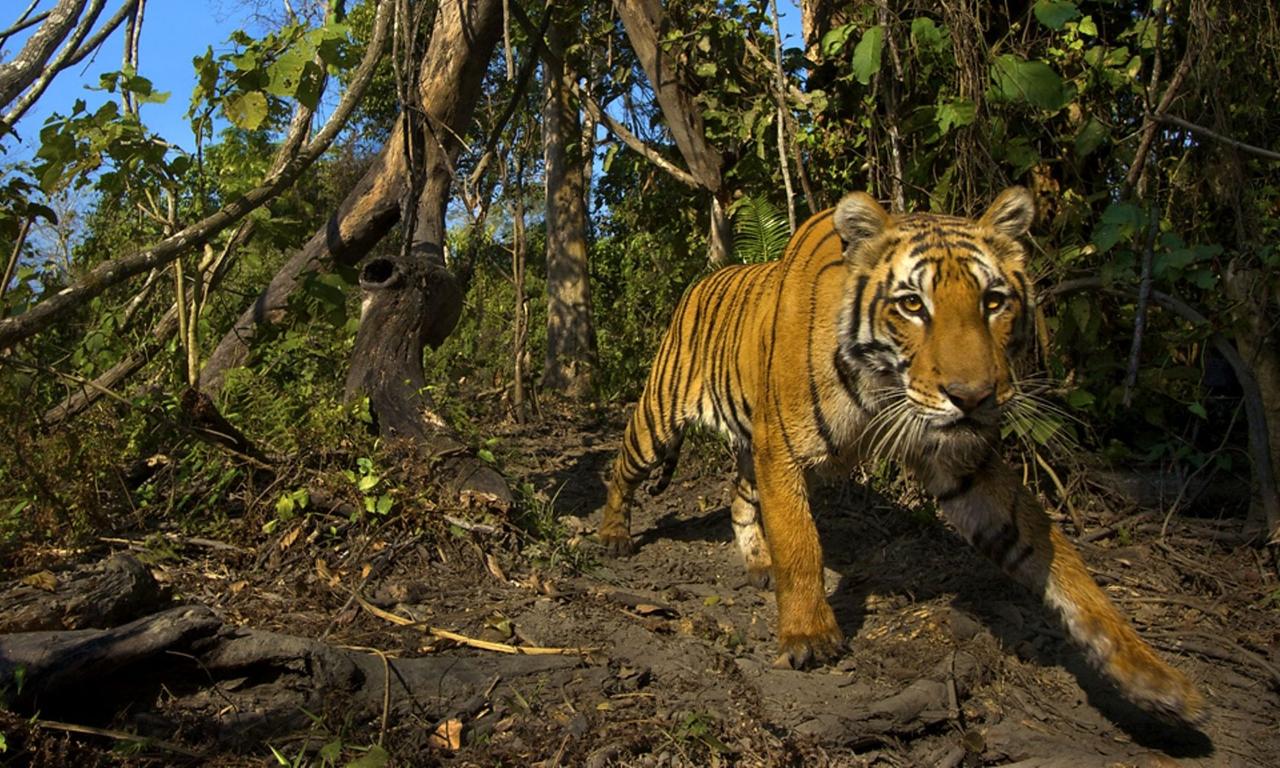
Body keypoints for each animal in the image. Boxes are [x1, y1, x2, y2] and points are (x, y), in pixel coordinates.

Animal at [598, 187, 1205, 724]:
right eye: (913, 305)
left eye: (993, 302)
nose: (973, 397)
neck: (884, 387)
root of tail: (700, 282)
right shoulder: (783, 450)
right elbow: (800, 543)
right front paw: (810, 635)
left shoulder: (959, 461)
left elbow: (1055, 556)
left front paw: (1149, 675)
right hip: (661, 417)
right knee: (621, 467)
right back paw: (613, 536)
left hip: (747, 446)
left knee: (739, 498)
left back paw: (757, 563)